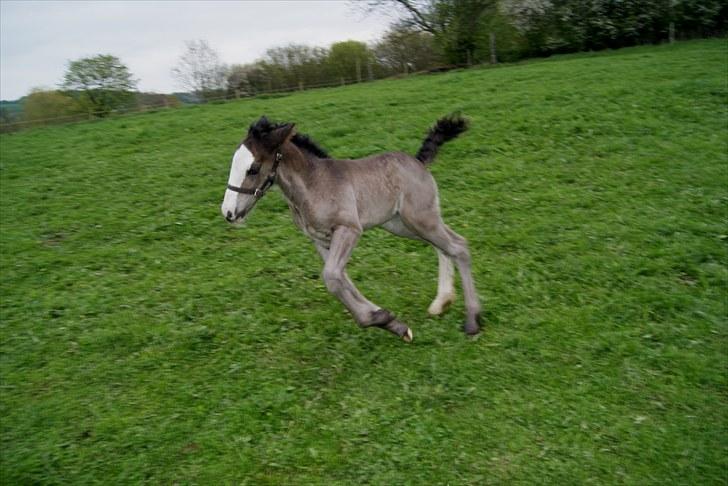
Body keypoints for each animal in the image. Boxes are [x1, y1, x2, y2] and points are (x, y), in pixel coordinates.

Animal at [222, 115, 484, 342]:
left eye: (253, 168)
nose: (228, 213)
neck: (312, 183)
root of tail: (418, 161)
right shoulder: (319, 240)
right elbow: (341, 279)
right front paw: (391, 322)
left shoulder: (349, 229)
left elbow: (332, 276)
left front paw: (381, 319)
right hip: (404, 224)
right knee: (443, 246)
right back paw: (442, 303)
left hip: (420, 219)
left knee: (458, 246)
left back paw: (472, 320)